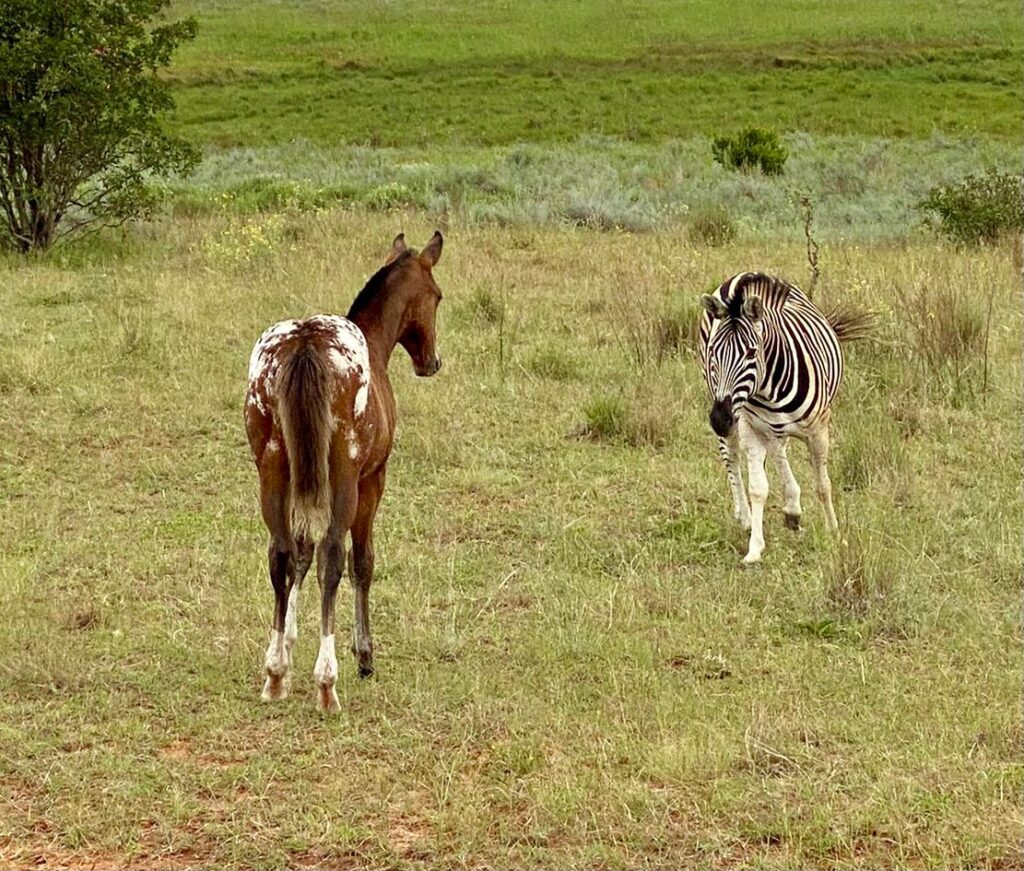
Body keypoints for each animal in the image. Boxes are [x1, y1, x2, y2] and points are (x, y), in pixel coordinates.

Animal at [246, 235, 444, 712]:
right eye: (437, 297)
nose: (431, 361)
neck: (373, 343)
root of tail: (304, 345)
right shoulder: (372, 479)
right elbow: (362, 562)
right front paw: (364, 654)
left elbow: (300, 553)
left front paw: (286, 646)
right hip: (344, 477)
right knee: (333, 555)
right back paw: (327, 683)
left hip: (273, 467)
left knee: (280, 553)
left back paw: (274, 677)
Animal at [700, 272, 860, 569]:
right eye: (714, 351)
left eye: (751, 353)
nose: (719, 419)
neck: (767, 388)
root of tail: (744, 274)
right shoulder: (748, 426)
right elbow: (757, 488)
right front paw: (754, 547)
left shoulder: (819, 430)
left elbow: (823, 485)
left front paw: (834, 534)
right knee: (732, 456)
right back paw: (748, 516)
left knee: (778, 451)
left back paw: (792, 509)